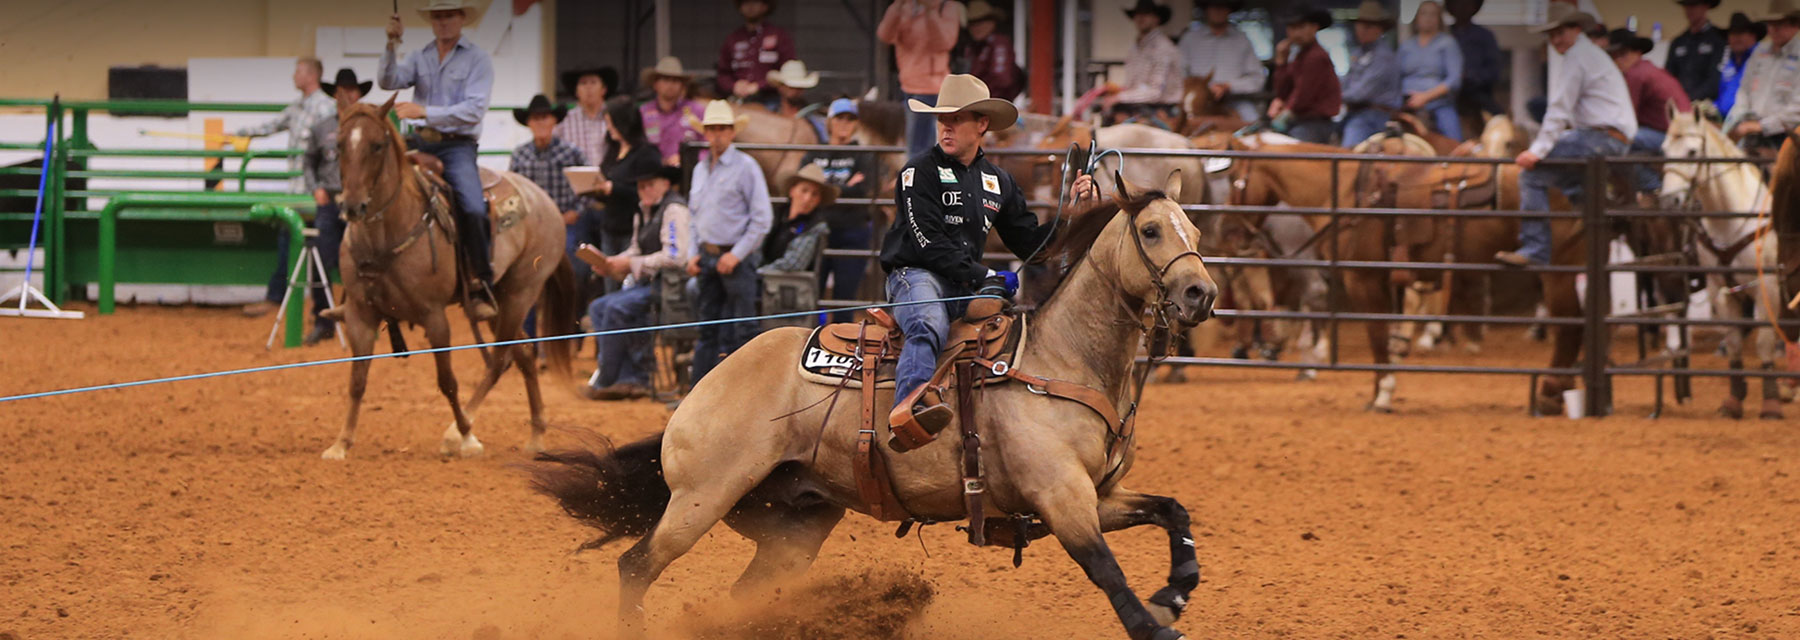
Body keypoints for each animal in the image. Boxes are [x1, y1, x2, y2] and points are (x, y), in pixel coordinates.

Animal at [320, 98, 579, 460]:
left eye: (377, 145)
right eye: (340, 145)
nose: (354, 206)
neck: (387, 232)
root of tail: (544, 200)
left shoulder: (434, 316)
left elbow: (448, 380)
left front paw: (467, 436)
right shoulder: (360, 314)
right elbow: (357, 380)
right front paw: (341, 443)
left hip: (521, 292)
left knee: (499, 360)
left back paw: (459, 431)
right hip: (498, 302)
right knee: (524, 355)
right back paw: (537, 435)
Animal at [525, 169, 1216, 640]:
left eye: (1197, 231)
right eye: (1151, 230)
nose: (1200, 294)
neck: (1060, 361)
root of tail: (703, 388)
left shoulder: (1098, 495)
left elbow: (1173, 510)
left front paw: (1177, 590)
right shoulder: (1061, 497)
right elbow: (1105, 570)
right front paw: (1157, 621)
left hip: (792, 526)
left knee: (739, 592)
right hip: (700, 499)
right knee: (637, 565)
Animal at [1656, 105, 1785, 420]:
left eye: (1692, 151)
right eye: (1664, 149)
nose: (1669, 202)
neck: (1731, 217)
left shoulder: (1767, 286)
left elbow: (1764, 342)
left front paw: (1771, 403)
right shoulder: (1718, 287)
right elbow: (1735, 341)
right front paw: (1734, 400)